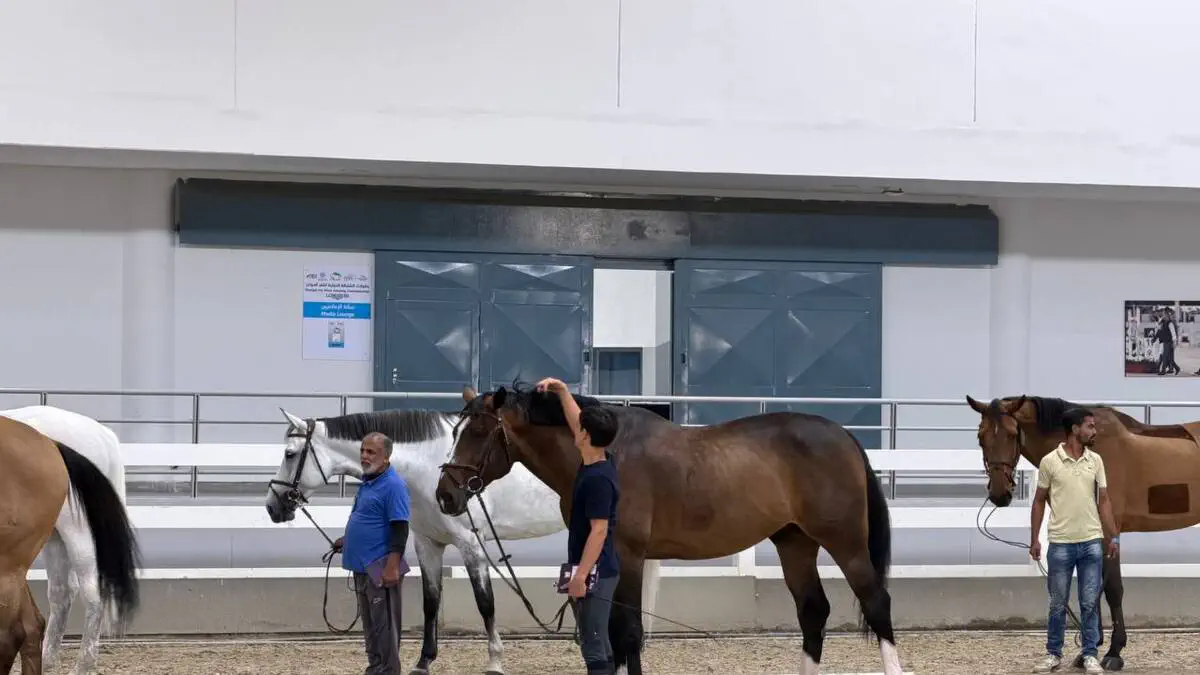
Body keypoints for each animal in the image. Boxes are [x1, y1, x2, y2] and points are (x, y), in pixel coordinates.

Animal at [1, 405, 136, 675]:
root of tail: (103, 435)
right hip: (53, 539)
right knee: (61, 594)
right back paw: (49, 660)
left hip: (78, 534)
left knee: (92, 593)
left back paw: (83, 665)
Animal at [263, 407, 663, 675]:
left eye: (289, 454)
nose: (273, 506)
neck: (426, 467)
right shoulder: (427, 543)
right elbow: (430, 602)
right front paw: (423, 661)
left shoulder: (471, 545)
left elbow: (485, 604)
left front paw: (495, 661)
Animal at [435, 385, 903, 675]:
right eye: (455, 430)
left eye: (479, 431)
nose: (445, 495)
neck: (608, 454)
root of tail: (842, 435)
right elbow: (616, 633)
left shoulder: (628, 556)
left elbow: (628, 633)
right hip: (795, 543)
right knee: (813, 610)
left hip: (846, 544)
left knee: (877, 603)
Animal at [966, 393, 1200, 672]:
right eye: (980, 436)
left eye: (1012, 434)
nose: (999, 494)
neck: (1093, 445)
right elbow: (1092, 589)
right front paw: (1089, 650)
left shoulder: (1109, 532)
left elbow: (1112, 589)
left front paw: (1113, 652)